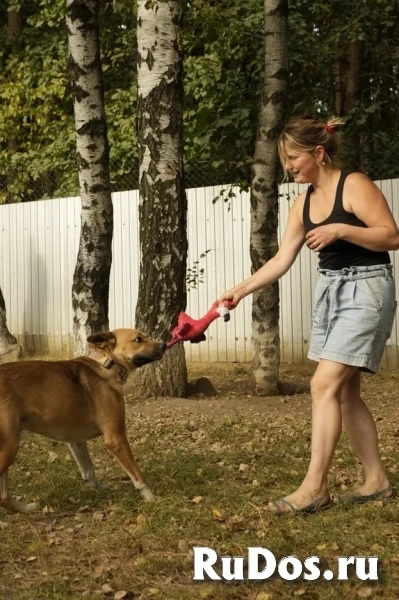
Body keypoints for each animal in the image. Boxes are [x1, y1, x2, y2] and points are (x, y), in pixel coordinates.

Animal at [0, 330, 166, 512]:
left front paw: (99, 490)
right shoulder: (116, 438)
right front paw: (151, 498)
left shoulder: (76, 441)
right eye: (138, 339)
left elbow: (89, 471)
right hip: (9, 447)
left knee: (4, 496)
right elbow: (137, 474)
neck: (106, 364)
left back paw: (26, 509)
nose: (164, 344)